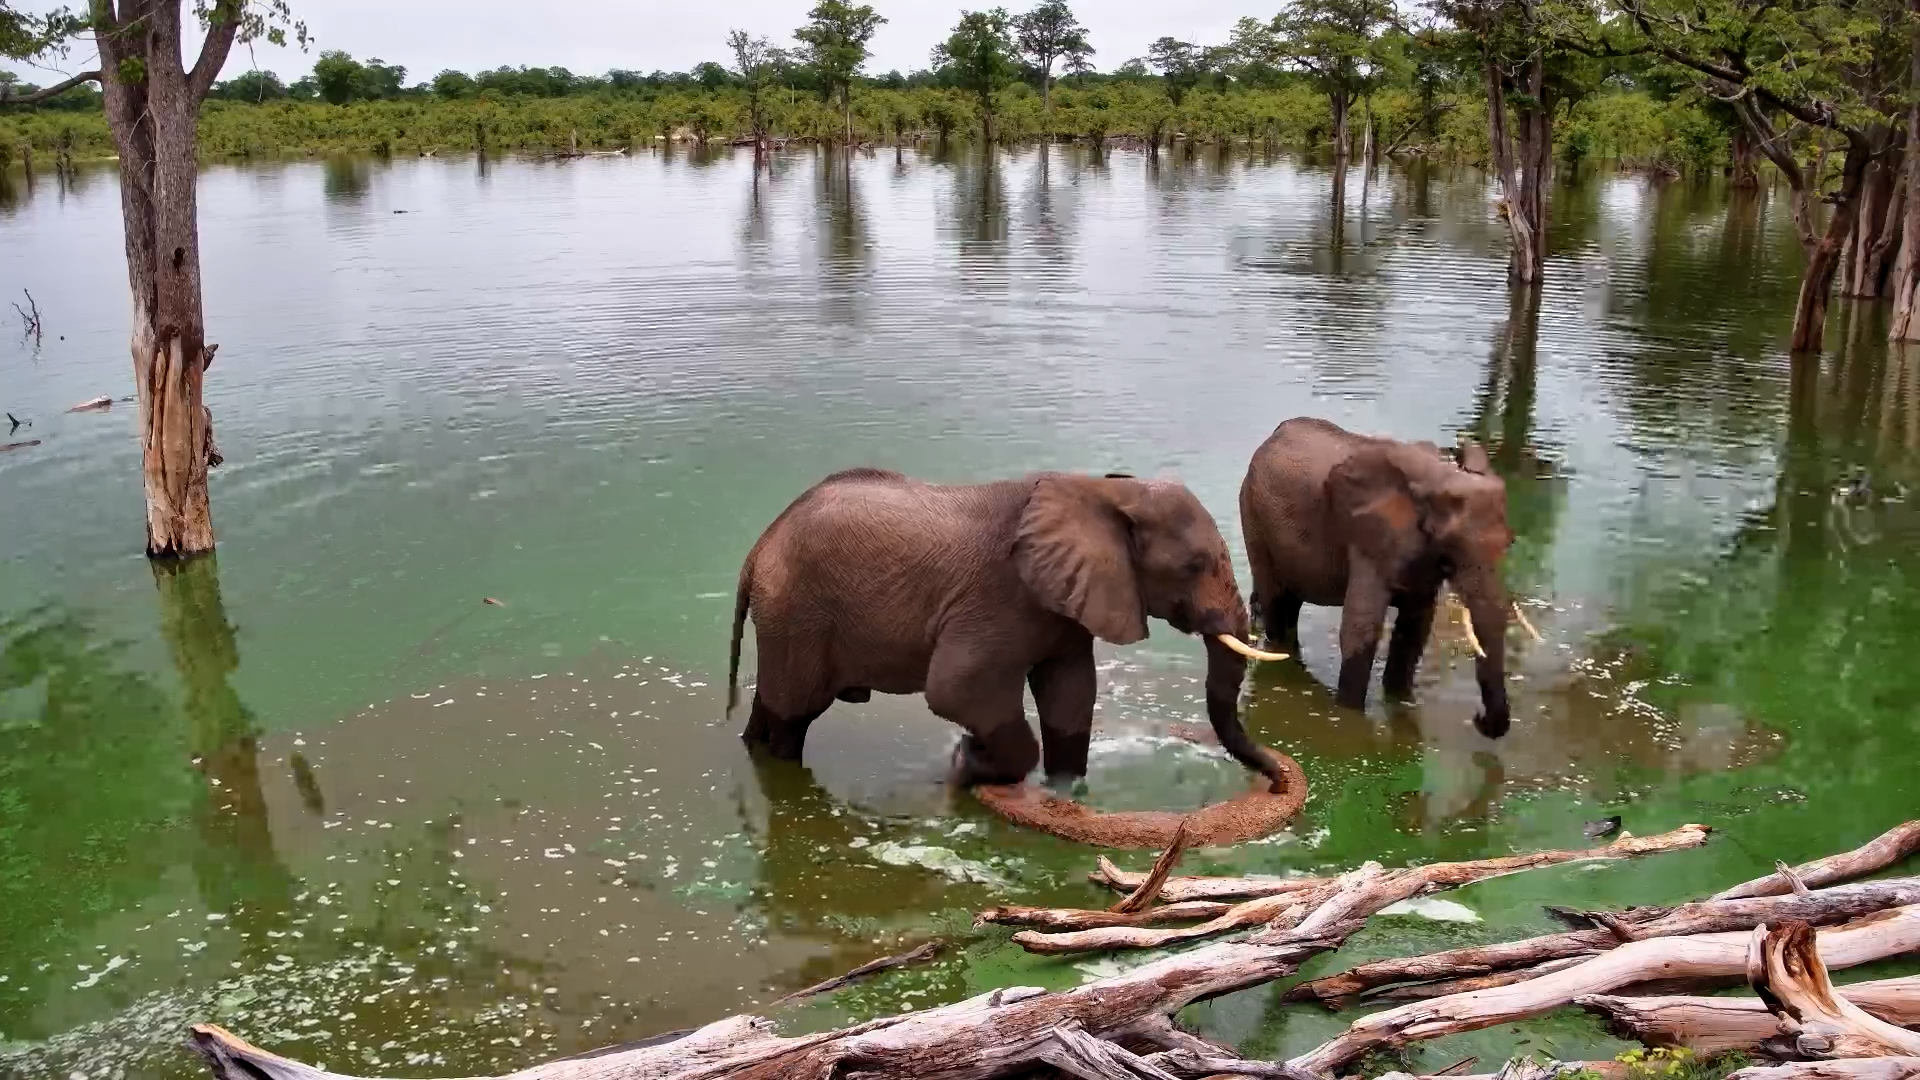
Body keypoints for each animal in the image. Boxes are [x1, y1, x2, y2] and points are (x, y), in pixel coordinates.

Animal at [725, 467, 1287, 788]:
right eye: (1194, 566)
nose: (1278, 779)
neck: (1104, 491)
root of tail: (758, 548)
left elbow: (1071, 693)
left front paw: (1060, 788)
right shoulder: (999, 595)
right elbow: (958, 688)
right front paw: (967, 763)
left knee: (772, 707)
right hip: (798, 613)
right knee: (793, 718)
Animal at [1240, 418, 1515, 738]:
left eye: (1510, 543)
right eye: (1450, 548)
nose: (1478, 717)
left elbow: (1414, 631)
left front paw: (1401, 701)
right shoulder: (1369, 540)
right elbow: (1361, 628)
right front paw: (1350, 715)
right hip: (1252, 515)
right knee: (1275, 601)